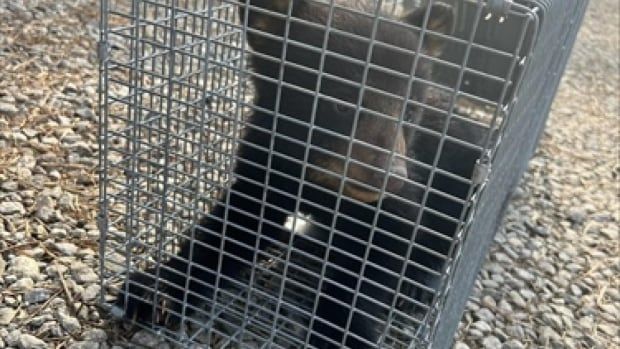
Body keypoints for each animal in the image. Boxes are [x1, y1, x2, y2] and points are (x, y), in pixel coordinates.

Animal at [114, 1, 472, 346]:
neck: (321, 178)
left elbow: (382, 253)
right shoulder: (267, 159)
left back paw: (418, 282)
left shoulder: (405, 191)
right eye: (342, 104)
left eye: (409, 113)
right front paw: (156, 290)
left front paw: (343, 332)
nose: (391, 177)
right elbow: (235, 225)